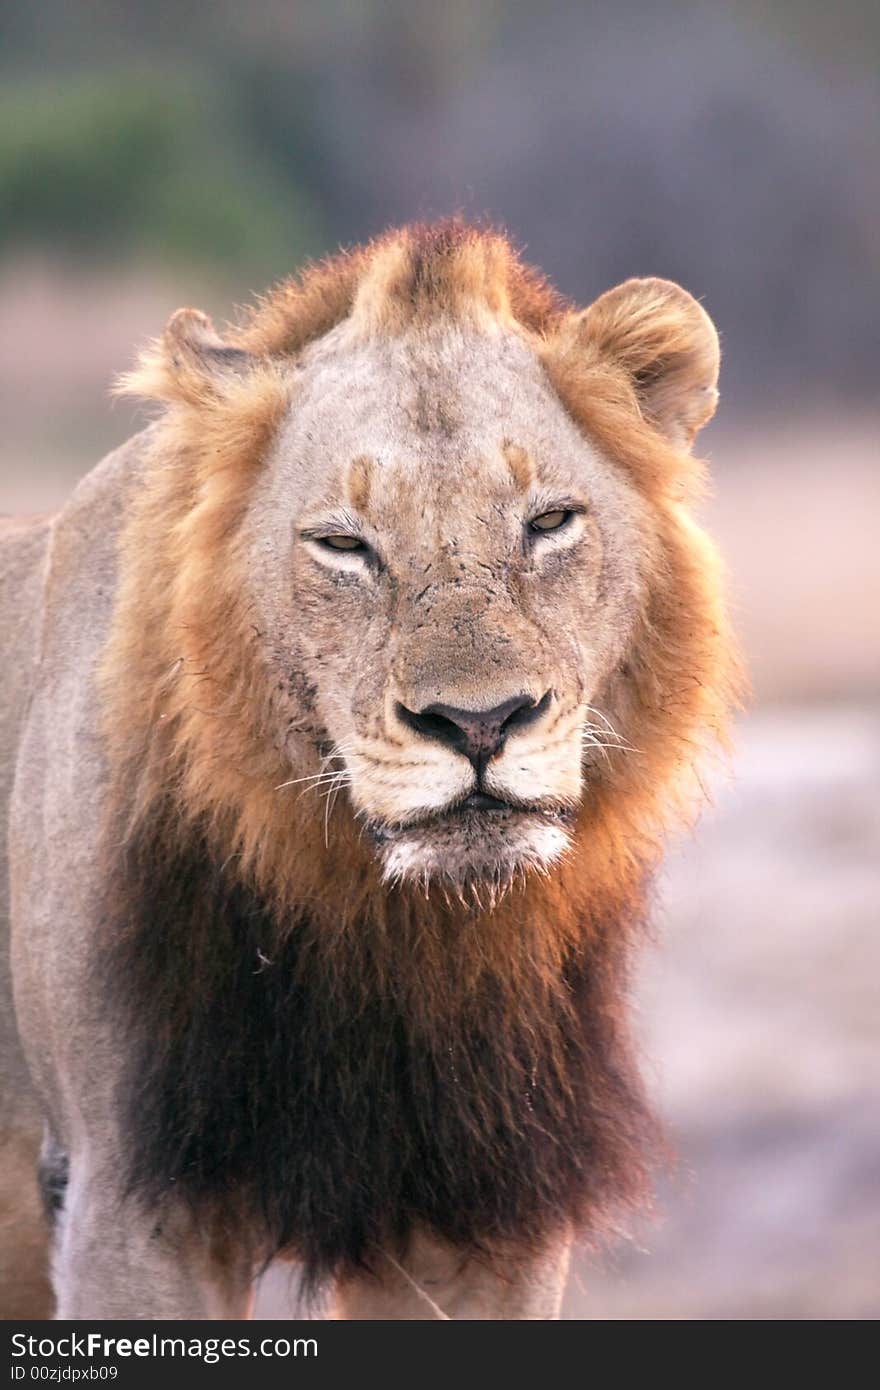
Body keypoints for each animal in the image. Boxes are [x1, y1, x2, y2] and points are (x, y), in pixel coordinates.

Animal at [1, 222, 734, 1317]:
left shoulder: (485, 1212)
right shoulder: (126, 1203)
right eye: (343, 546)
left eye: (548, 523)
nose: (479, 722)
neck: (395, 931)